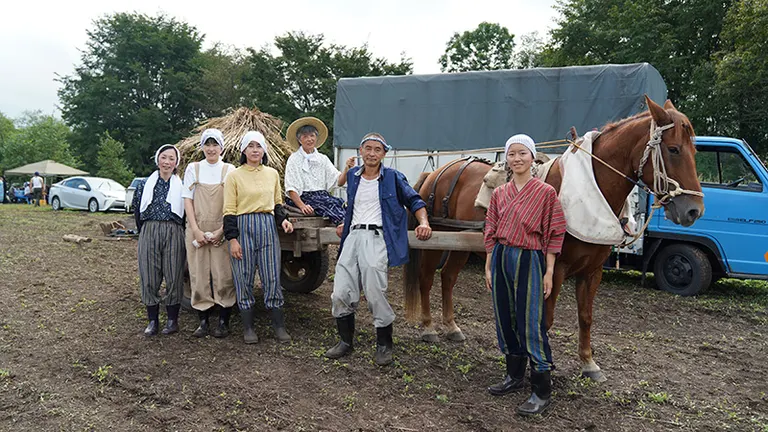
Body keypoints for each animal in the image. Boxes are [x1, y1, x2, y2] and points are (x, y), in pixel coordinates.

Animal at [404, 97, 704, 382]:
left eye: (695, 151)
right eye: (674, 149)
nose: (694, 211)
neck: (590, 189)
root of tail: (435, 173)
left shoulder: (592, 271)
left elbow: (586, 317)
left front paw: (589, 364)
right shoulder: (554, 269)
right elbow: (544, 319)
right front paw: (539, 366)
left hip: (459, 244)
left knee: (448, 277)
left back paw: (452, 327)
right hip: (434, 238)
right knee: (426, 278)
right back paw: (428, 327)